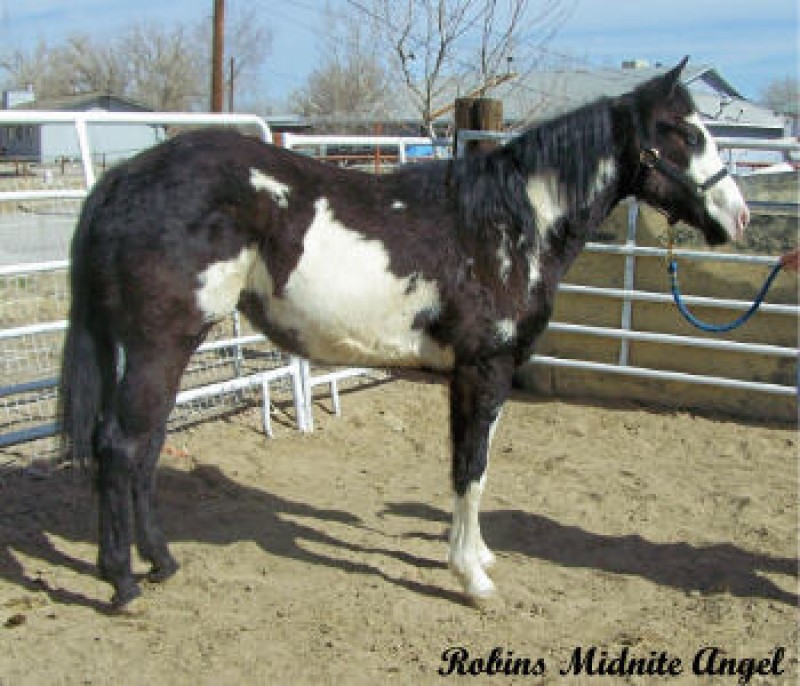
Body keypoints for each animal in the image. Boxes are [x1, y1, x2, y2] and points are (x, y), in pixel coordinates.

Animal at [59, 58, 749, 608]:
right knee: (122, 446)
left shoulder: (491, 373)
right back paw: (122, 582)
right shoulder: (480, 369)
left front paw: (479, 556)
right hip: (160, 345)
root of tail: (122, 180)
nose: (738, 218)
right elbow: (469, 469)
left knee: (144, 449)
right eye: (687, 133)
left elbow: (479, 466)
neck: (509, 224)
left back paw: (162, 563)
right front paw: (472, 578)